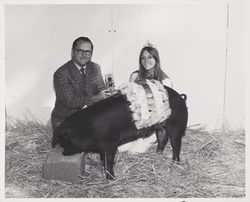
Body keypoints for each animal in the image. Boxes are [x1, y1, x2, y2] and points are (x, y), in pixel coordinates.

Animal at [51, 85, 188, 180]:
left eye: (63, 140)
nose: (63, 153)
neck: (86, 128)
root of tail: (181, 98)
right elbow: (103, 158)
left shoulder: (109, 144)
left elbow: (109, 162)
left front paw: (111, 179)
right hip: (160, 126)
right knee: (162, 138)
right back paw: (157, 154)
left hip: (176, 125)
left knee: (176, 144)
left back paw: (175, 162)